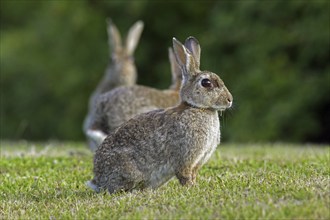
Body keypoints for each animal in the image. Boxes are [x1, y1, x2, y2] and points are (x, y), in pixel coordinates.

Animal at [86, 36, 233, 194]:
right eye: (206, 83)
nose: (230, 100)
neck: (198, 107)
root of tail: (98, 180)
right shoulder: (185, 158)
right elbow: (185, 175)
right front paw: (192, 188)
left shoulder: (197, 162)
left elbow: (193, 175)